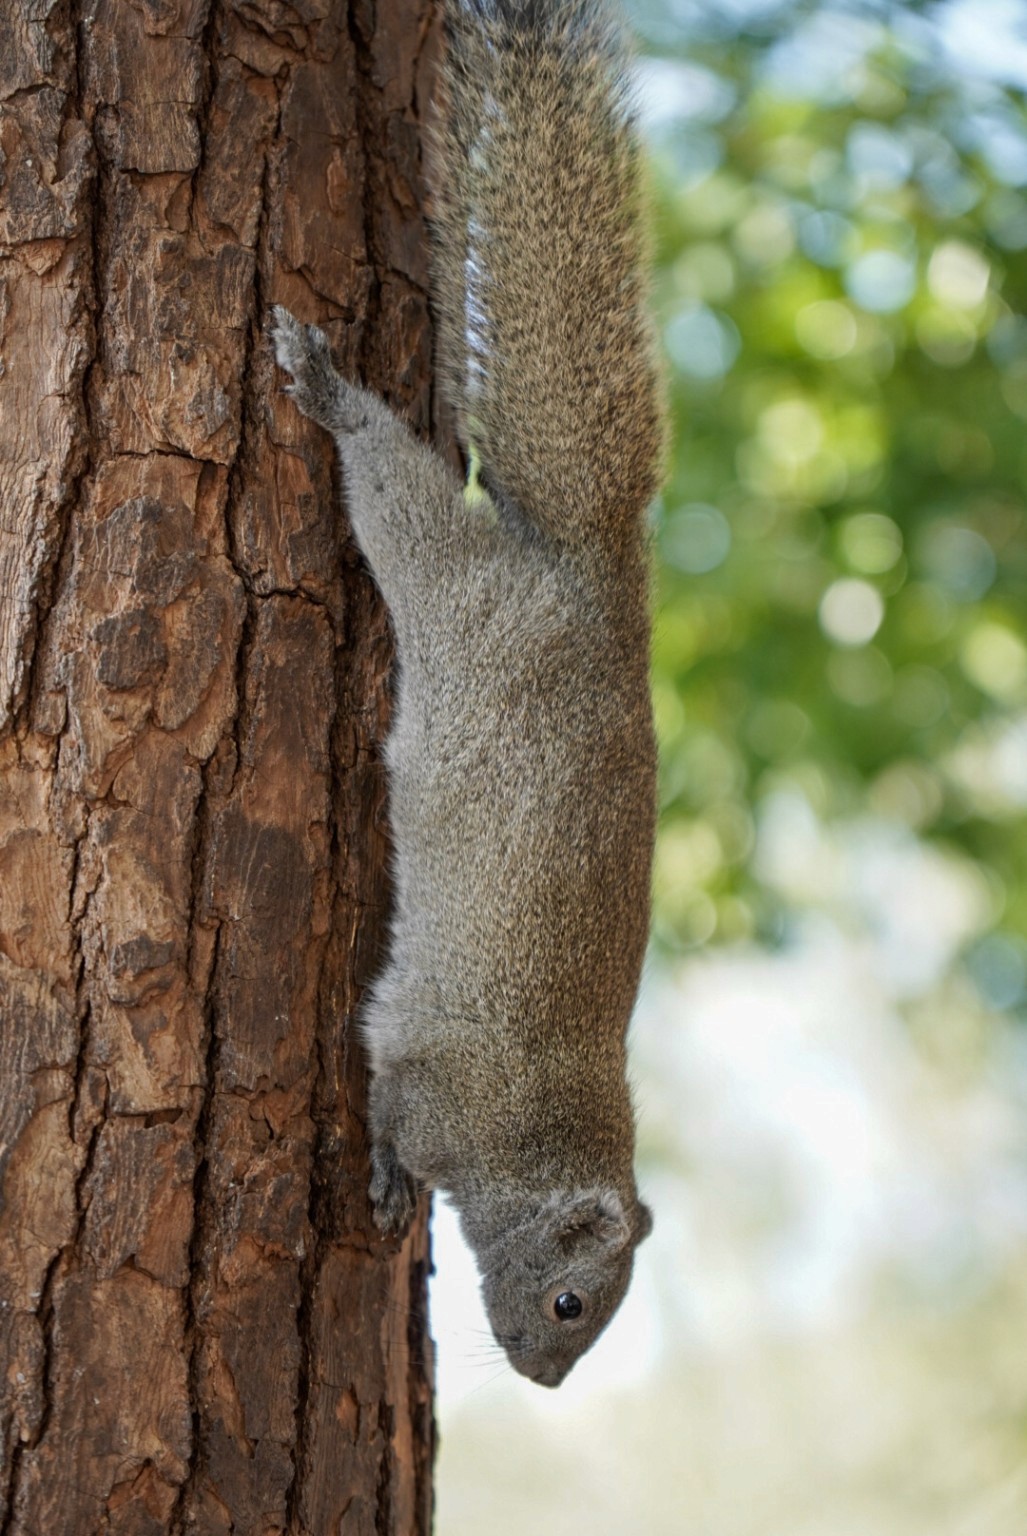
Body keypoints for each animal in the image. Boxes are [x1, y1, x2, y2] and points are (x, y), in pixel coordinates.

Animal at [271, 0, 663, 1388]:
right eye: (571, 1302)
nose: (542, 1380)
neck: (536, 1141)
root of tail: (603, 589)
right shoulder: (440, 1079)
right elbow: (389, 1106)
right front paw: (391, 1186)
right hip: (457, 590)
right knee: (397, 495)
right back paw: (333, 398)